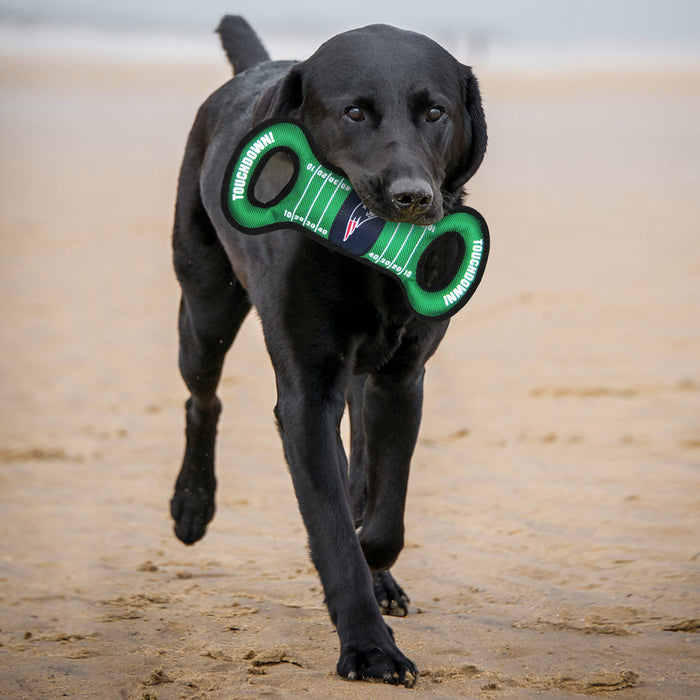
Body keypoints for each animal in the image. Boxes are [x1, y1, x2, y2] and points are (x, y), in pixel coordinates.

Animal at [172, 13, 484, 688]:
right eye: (355, 112)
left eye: (436, 112)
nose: (414, 198)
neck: (370, 263)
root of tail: (259, 69)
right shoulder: (308, 395)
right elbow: (334, 525)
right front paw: (370, 648)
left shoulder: (402, 380)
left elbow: (384, 517)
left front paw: (377, 567)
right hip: (205, 311)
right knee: (202, 398)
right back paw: (192, 503)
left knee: (361, 463)